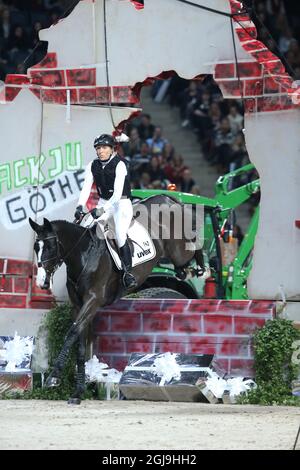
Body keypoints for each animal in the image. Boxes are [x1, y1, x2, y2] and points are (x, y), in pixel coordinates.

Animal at [29, 195, 205, 404]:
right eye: (36, 247)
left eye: (50, 247)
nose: (41, 282)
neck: (84, 254)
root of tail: (166, 198)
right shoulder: (78, 305)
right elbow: (79, 344)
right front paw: (77, 393)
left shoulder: (93, 301)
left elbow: (71, 333)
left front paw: (53, 377)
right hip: (177, 258)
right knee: (183, 265)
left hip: (179, 251)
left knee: (194, 246)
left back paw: (203, 269)